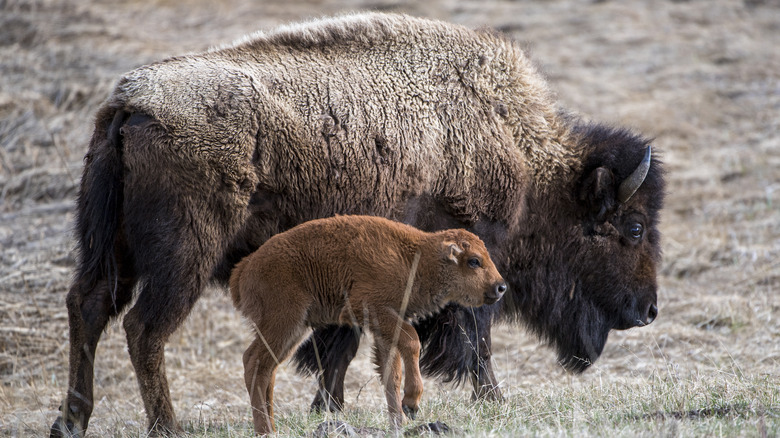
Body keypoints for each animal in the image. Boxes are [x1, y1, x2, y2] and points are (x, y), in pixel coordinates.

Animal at [229, 214, 506, 432]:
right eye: (474, 260)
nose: (500, 287)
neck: (415, 257)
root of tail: (244, 268)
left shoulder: (384, 328)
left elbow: (391, 373)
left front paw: (398, 423)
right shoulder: (375, 311)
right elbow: (412, 342)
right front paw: (411, 403)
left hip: (294, 330)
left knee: (267, 368)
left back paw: (271, 426)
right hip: (284, 321)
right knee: (255, 363)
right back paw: (265, 430)